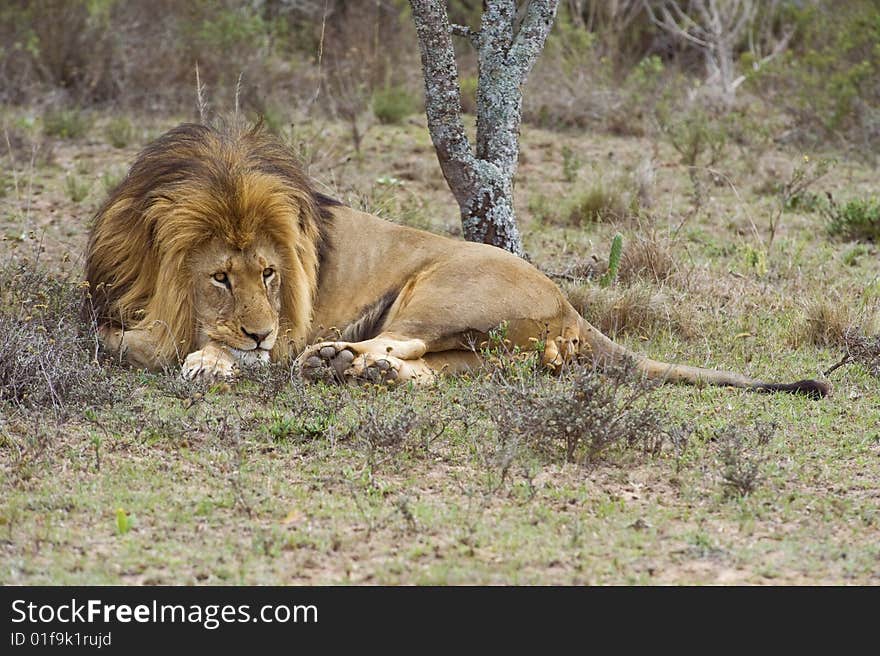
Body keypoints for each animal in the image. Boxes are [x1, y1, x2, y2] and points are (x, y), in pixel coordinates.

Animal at [81, 123, 824, 400]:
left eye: (269, 273)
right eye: (220, 276)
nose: (261, 334)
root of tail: (570, 304)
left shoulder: (290, 320)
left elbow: (168, 348)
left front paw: (211, 358)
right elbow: (114, 341)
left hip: (442, 288)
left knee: (396, 341)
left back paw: (335, 361)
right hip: (486, 350)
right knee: (431, 366)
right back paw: (359, 369)